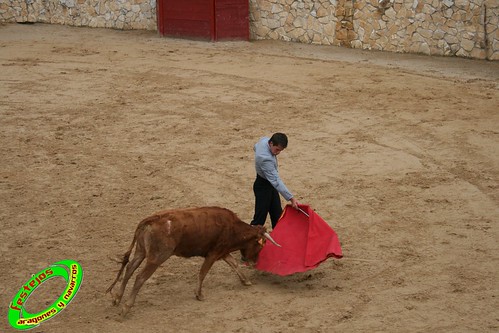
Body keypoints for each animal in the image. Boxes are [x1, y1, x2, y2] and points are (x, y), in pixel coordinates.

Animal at [107, 205, 280, 316]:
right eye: (261, 244)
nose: (254, 262)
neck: (233, 227)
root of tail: (151, 219)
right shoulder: (213, 253)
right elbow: (203, 273)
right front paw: (199, 294)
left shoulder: (222, 252)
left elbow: (234, 264)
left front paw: (245, 281)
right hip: (156, 258)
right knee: (140, 277)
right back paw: (126, 307)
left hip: (141, 251)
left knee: (130, 268)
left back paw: (117, 298)